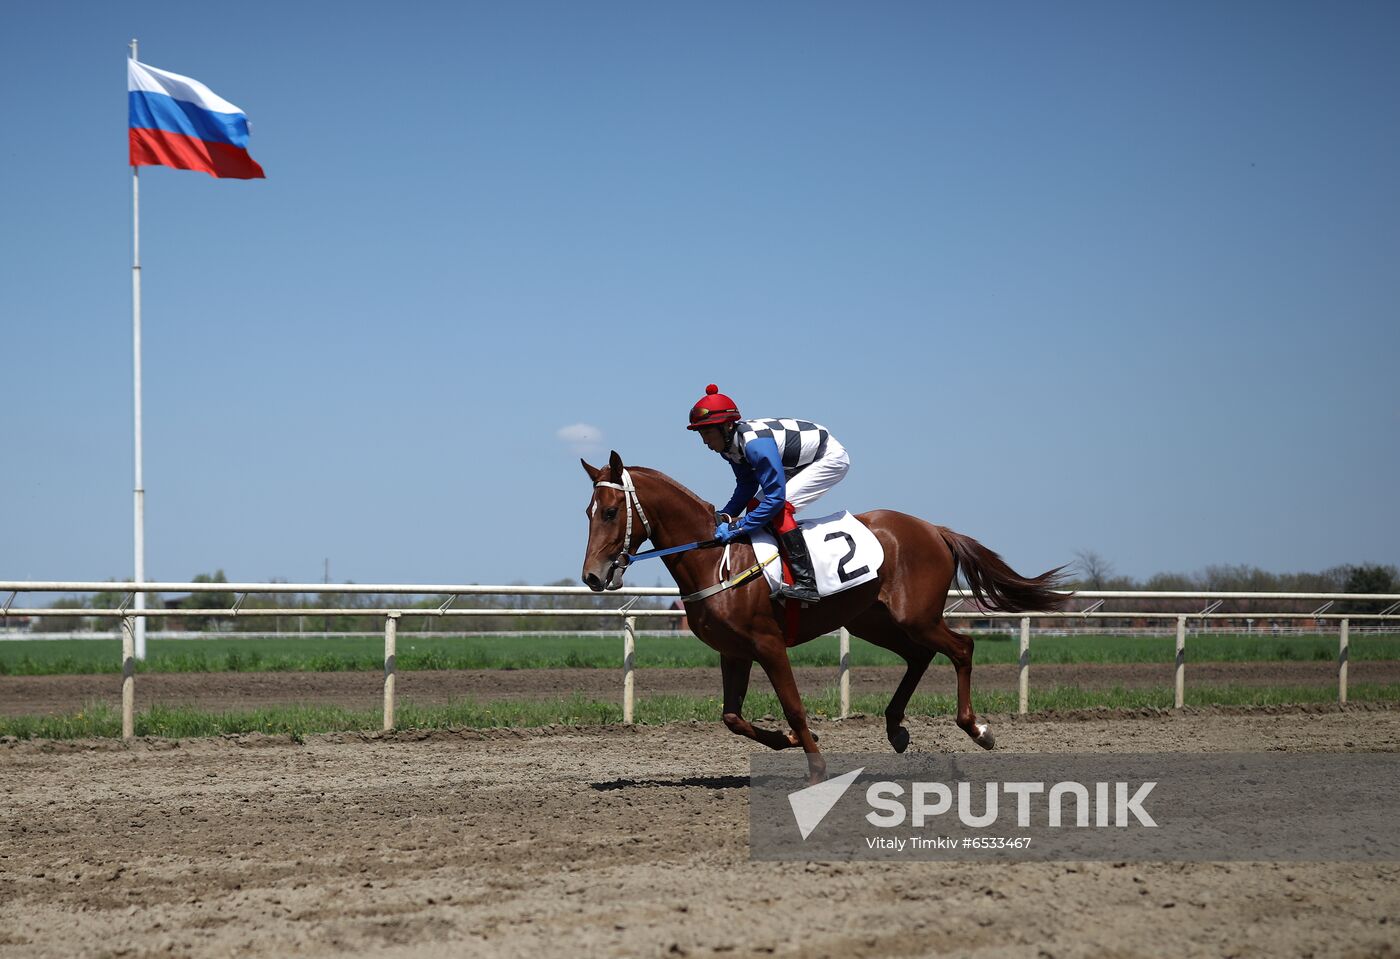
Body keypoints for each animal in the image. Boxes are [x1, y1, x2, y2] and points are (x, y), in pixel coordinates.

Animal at [580, 450, 1069, 783]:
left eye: (611, 511)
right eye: (588, 512)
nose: (592, 576)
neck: (714, 557)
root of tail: (935, 529)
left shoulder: (767, 644)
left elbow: (794, 706)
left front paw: (815, 765)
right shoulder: (734, 652)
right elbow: (732, 717)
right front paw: (789, 741)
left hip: (916, 617)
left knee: (962, 648)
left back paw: (977, 728)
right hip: (871, 620)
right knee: (918, 657)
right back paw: (896, 729)